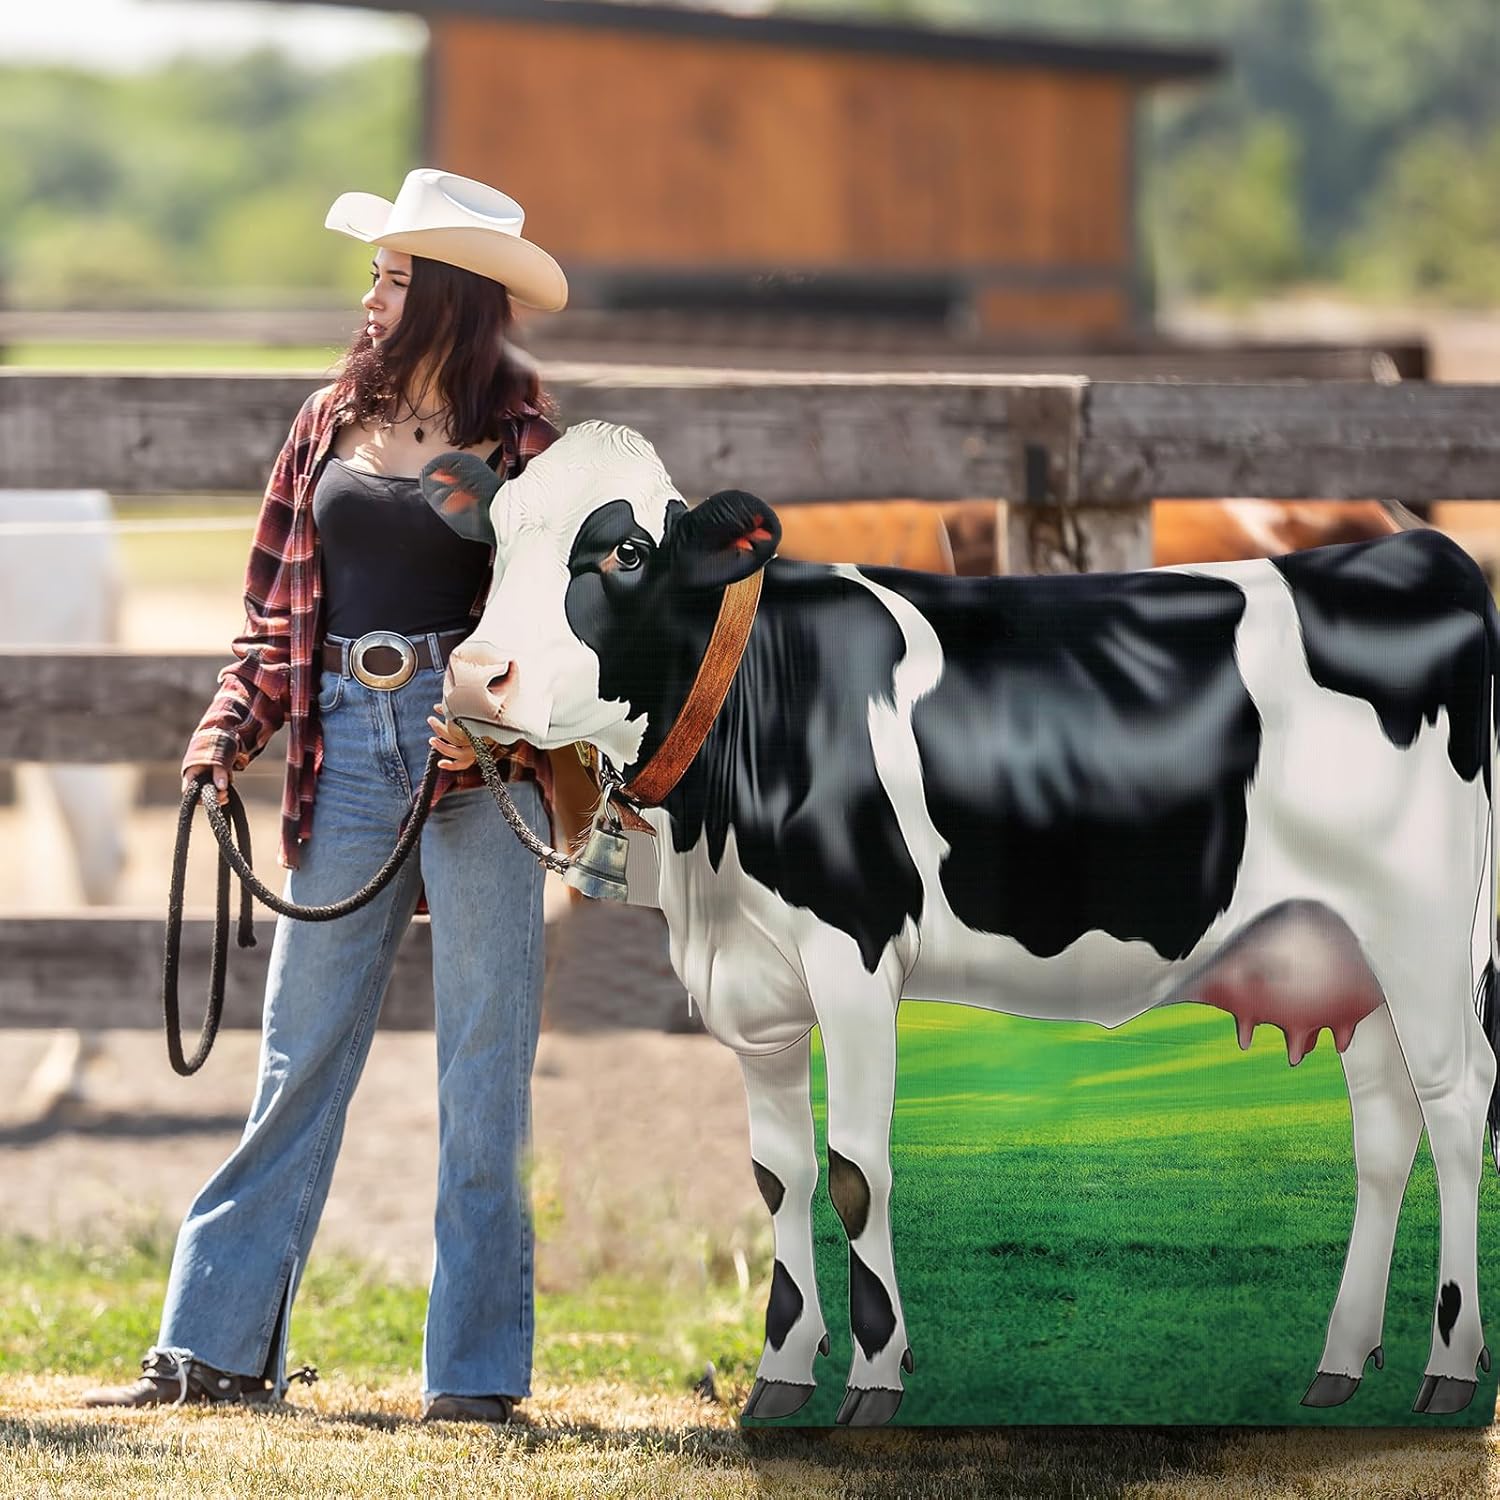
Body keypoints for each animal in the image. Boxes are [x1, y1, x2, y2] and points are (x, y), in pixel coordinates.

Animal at [422, 422, 1500, 1426]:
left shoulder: (855, 957)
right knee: (1384, 1125)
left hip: (1426, 933)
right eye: (497, 536)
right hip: (1346, 953)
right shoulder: (754, 989)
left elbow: (855, 1171)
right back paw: (1341, 1361)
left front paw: (875, 1376)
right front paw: (780, 1373)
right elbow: (778, 1176)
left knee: (1455, 1104)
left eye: (626, 552)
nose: (477, 676)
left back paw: (1449, 1367)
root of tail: (1418, 551)